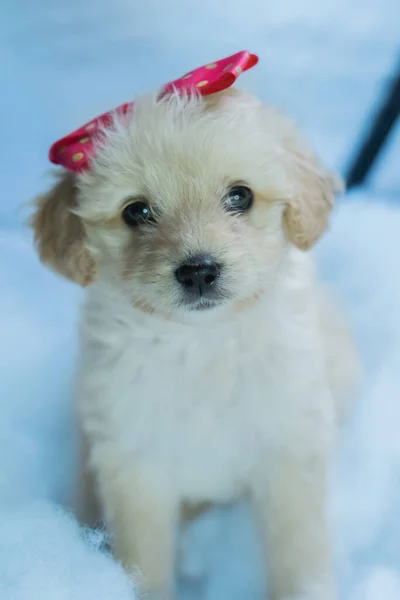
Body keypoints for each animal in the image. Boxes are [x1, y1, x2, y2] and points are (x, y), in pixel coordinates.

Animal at [29, 85, 358, 600]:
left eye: (240, 196)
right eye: (136, 211)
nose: (198, 271)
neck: (202, 343)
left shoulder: (289, 448)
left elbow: (297, 551)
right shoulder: (133, 461)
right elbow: (144, 560)